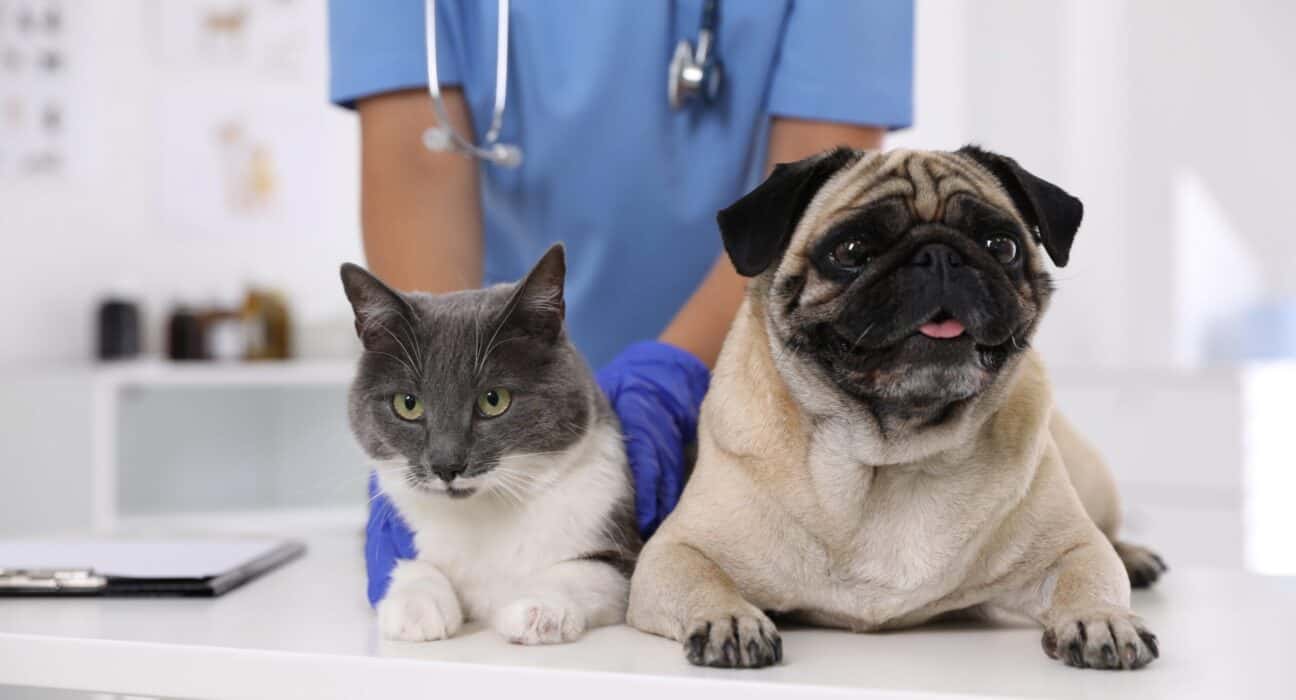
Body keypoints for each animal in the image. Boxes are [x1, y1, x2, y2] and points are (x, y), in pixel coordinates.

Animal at [336, 244, 635, 645]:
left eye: (494, 400)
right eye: (408, 404)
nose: (446, 464)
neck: (483, 514)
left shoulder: (616, 531)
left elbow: (588, 571)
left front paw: (537, 608)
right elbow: (409, 562)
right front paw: (416, 605)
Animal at [624, 145, 1166, 668]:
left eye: (1002, 246)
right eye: (850, 251)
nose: (939, 255)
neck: (895, 456)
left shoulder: (1073, 548)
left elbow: (1090, 574)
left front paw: (1102, 620)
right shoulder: (674, 553)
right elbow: (703, 580)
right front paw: (731, 620)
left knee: (1109, 534)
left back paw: (1135, 557)